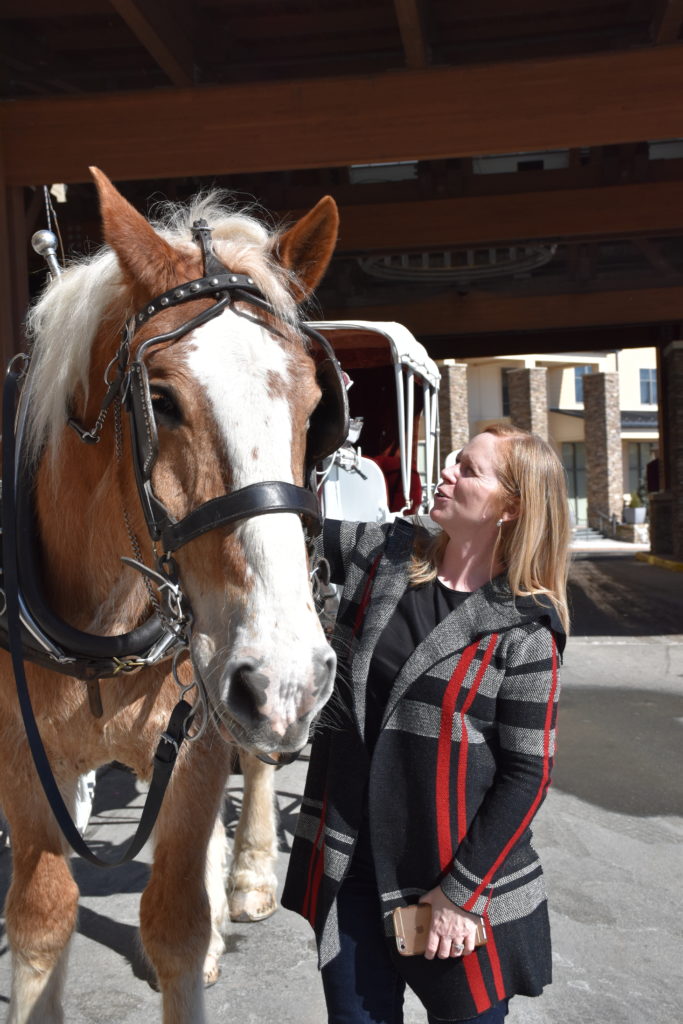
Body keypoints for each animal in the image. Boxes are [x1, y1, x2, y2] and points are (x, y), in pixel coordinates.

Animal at [0, 167, 342, 1024]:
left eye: (316, 405)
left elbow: (177, 921)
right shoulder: (23, 757)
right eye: (160, 399)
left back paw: (244, 877)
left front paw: (212, 914)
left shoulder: (200, 734)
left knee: (251, 767)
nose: (287, 675)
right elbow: (42, 917)